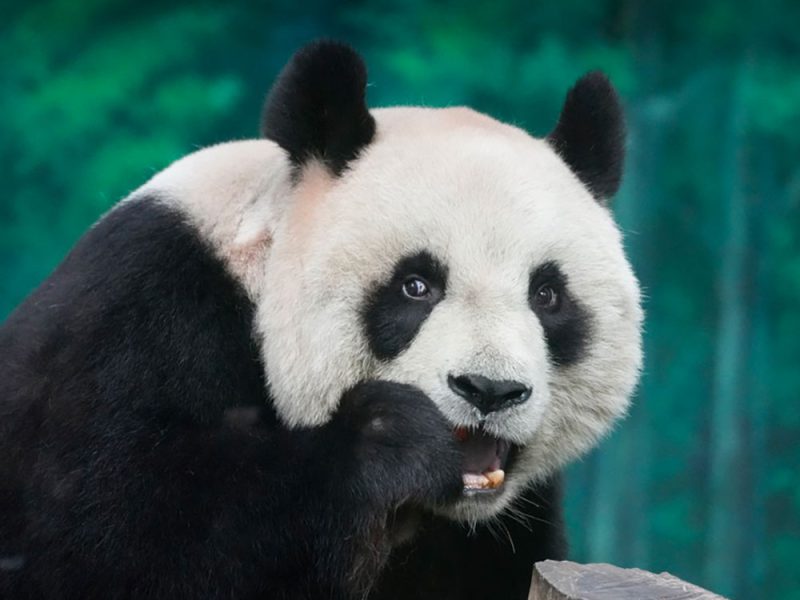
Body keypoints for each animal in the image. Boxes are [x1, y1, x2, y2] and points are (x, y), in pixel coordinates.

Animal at [0, 41, 642, 599]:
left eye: (547, 295)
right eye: (415, 285)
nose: (489, 389)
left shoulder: (486, 538)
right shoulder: (133, 327)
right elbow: (120, 543)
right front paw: (390, 440)